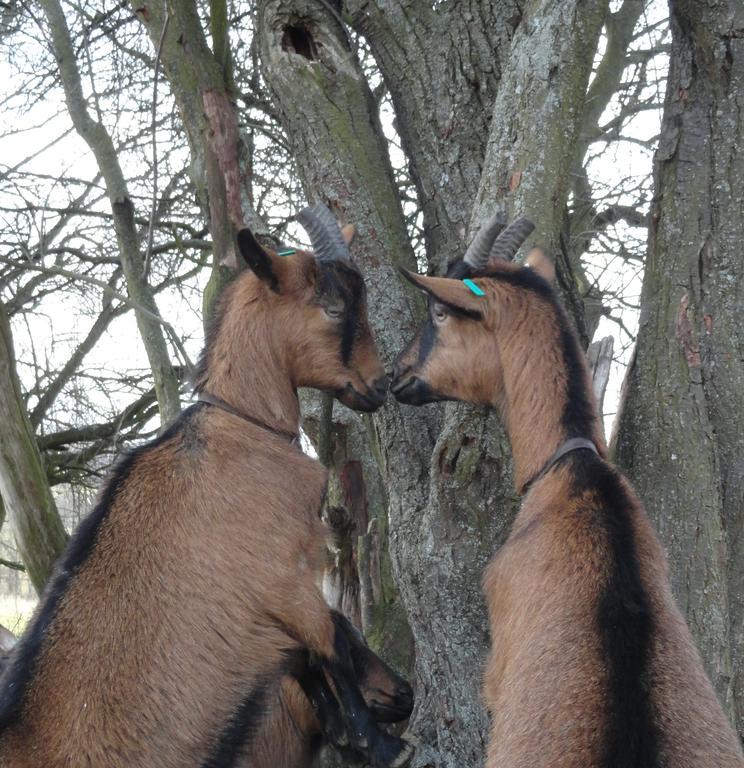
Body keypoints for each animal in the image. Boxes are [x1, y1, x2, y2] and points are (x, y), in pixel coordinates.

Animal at [0, 204, 412, 768]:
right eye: (333, 307)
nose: (378, 386)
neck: (245, 429)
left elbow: (303, 659)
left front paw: (351, 735)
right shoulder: (288, 580)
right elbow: (326, 647)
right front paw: (383, 744)